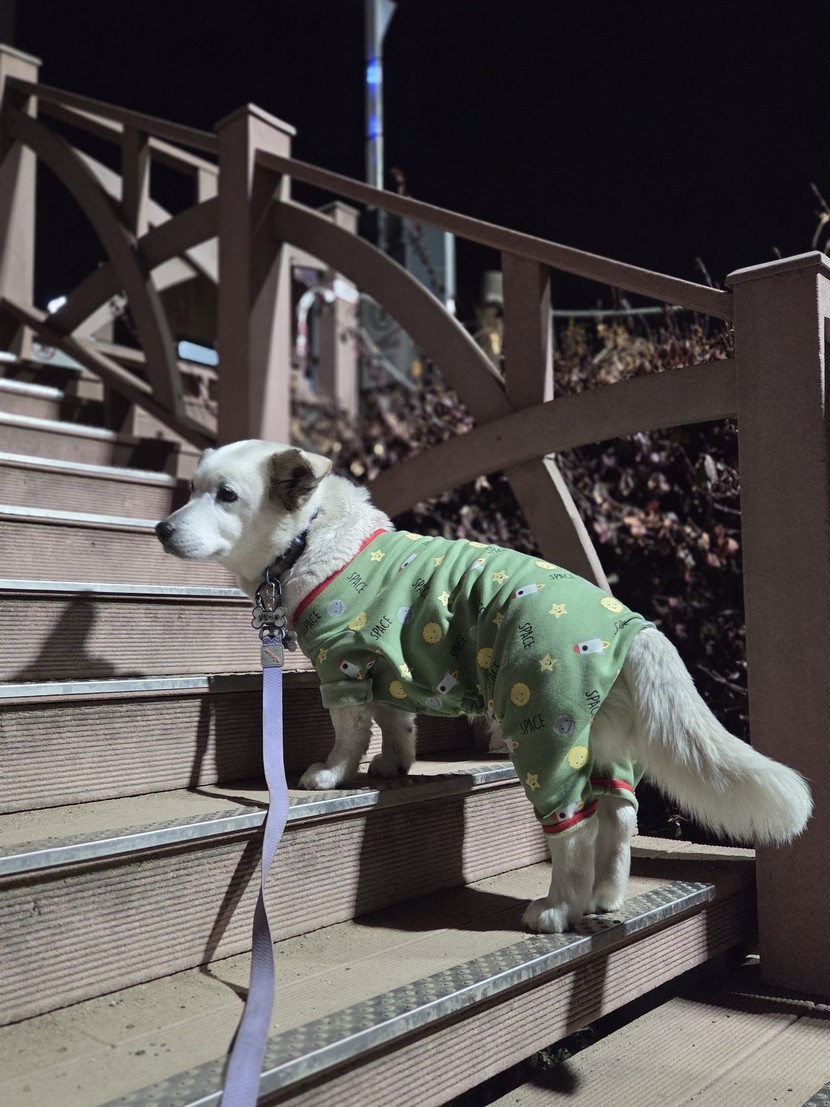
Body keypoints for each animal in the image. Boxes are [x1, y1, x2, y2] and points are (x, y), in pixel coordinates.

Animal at [155, 439, 812, 933]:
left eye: (227, 496)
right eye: (190, 489)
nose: (160, 529)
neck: (309, 539)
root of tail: (633, 625)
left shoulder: (342, 665)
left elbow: (350, 732)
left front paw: (330, 775)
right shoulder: (385, 668)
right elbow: (396, 722)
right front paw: (393, 767)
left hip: (544, 731)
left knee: (575, 828)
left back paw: (557, 909)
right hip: (603, 740)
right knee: (620, 815)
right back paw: (605, 898)